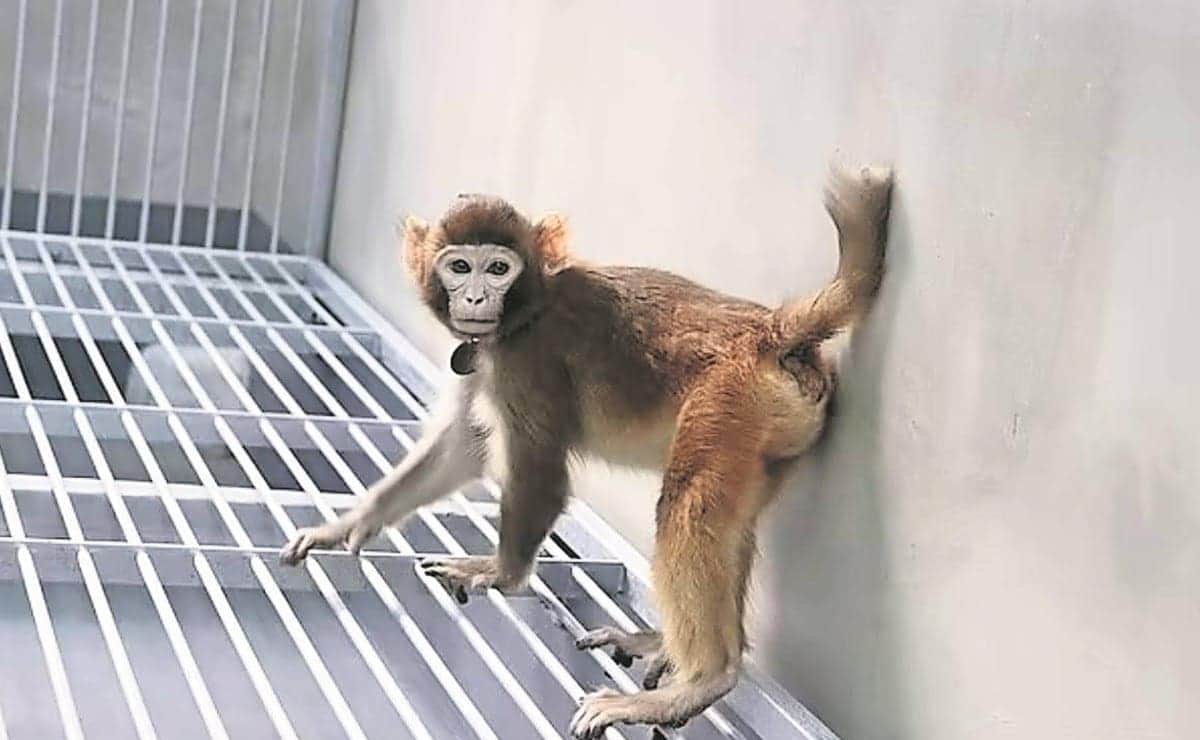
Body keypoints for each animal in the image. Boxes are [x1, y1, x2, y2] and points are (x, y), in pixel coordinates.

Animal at [279, 165, 894, 737]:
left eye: (497, 268)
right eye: (459, 267)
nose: (475, 297)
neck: (530, 308)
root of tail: (770, 331)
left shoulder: (529, 362)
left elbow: (540, 472)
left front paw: (501, 573)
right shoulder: (485, 358)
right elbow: (462, 447)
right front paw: (349, 524)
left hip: (730, 400)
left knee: (689, 509)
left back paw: (702, 679)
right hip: (769, 427)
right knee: (727, 520)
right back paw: (672, 647)